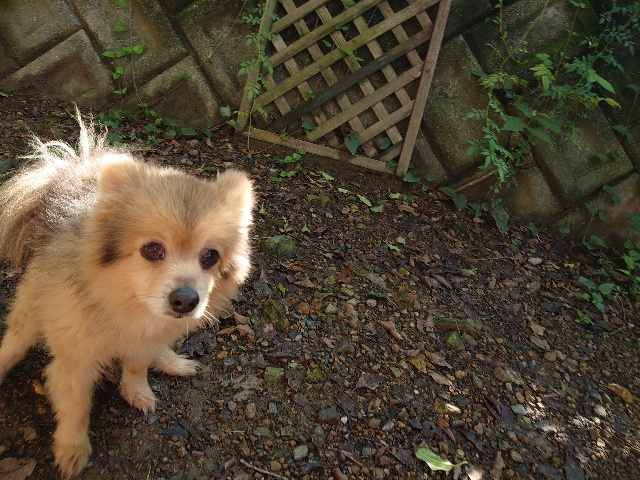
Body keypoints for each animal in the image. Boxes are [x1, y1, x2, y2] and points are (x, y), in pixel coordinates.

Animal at [0, 113, 254, 477]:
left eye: (210, 256)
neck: (127, 308)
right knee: (16, 340)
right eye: (152, 249)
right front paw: (73, 447)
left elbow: (136, 367)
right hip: (31, 313)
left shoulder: (142, 341)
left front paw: (137, 391)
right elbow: (77, 406)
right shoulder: (76, 360)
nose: (185, 300)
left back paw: (170, 360)